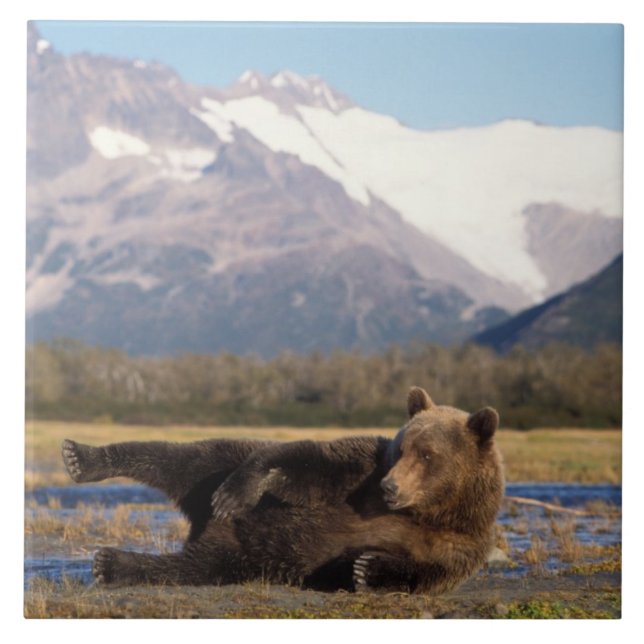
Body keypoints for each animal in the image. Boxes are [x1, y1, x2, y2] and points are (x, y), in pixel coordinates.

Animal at [61, 387, 504, 594]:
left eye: (428, 455)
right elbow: (307, 464)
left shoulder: (461, 541)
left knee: (187, 569)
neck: (428, 510)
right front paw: (238, 492)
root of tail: (204, 527)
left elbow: (427, 574)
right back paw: (81, 457)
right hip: (215, 475)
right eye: (401, 448)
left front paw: (365, 567)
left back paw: (111, 563)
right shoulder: (361, 475)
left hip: (237, 559)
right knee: (183, 456)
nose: (390, 486)